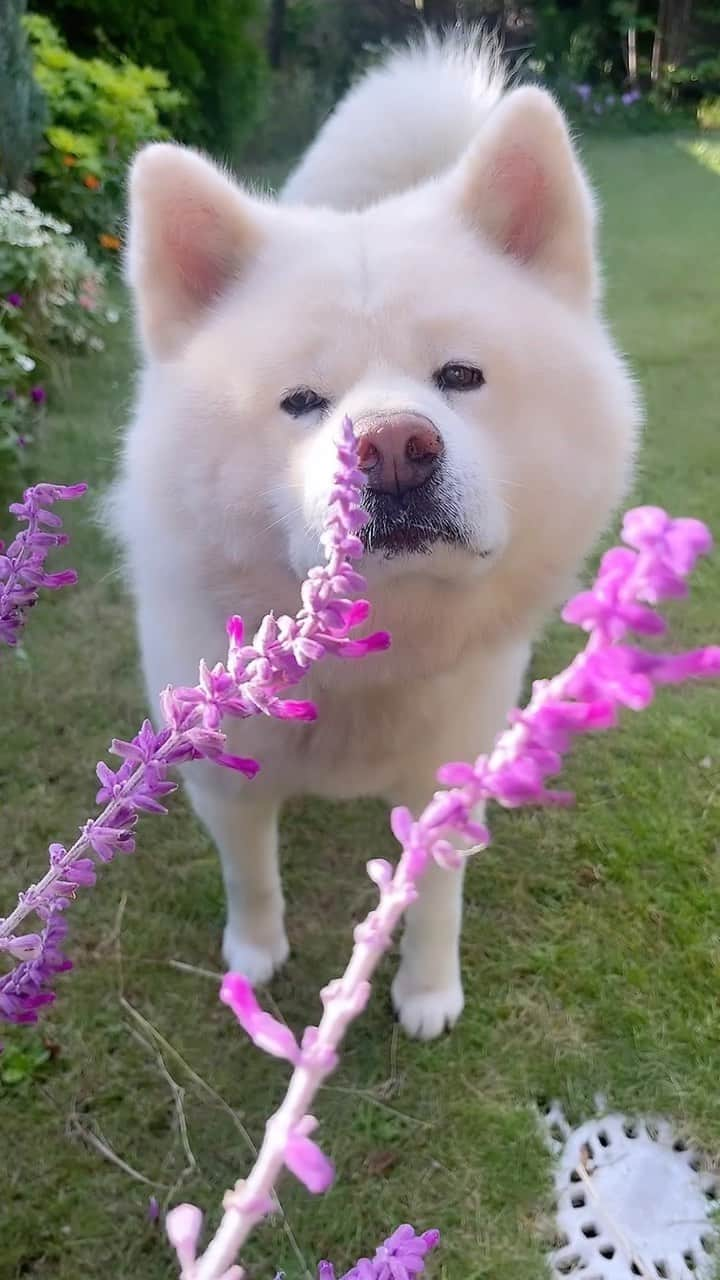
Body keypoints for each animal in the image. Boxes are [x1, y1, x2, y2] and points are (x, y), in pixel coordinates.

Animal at [113, 32, 638, 1039]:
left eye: (460, 375)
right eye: (301, 401)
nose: (394, 449)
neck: (371, 651)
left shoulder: (448, 775)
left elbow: (434, 900)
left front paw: (426, 991)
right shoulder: (226, 783)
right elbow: (249, 874)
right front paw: (256, 954)